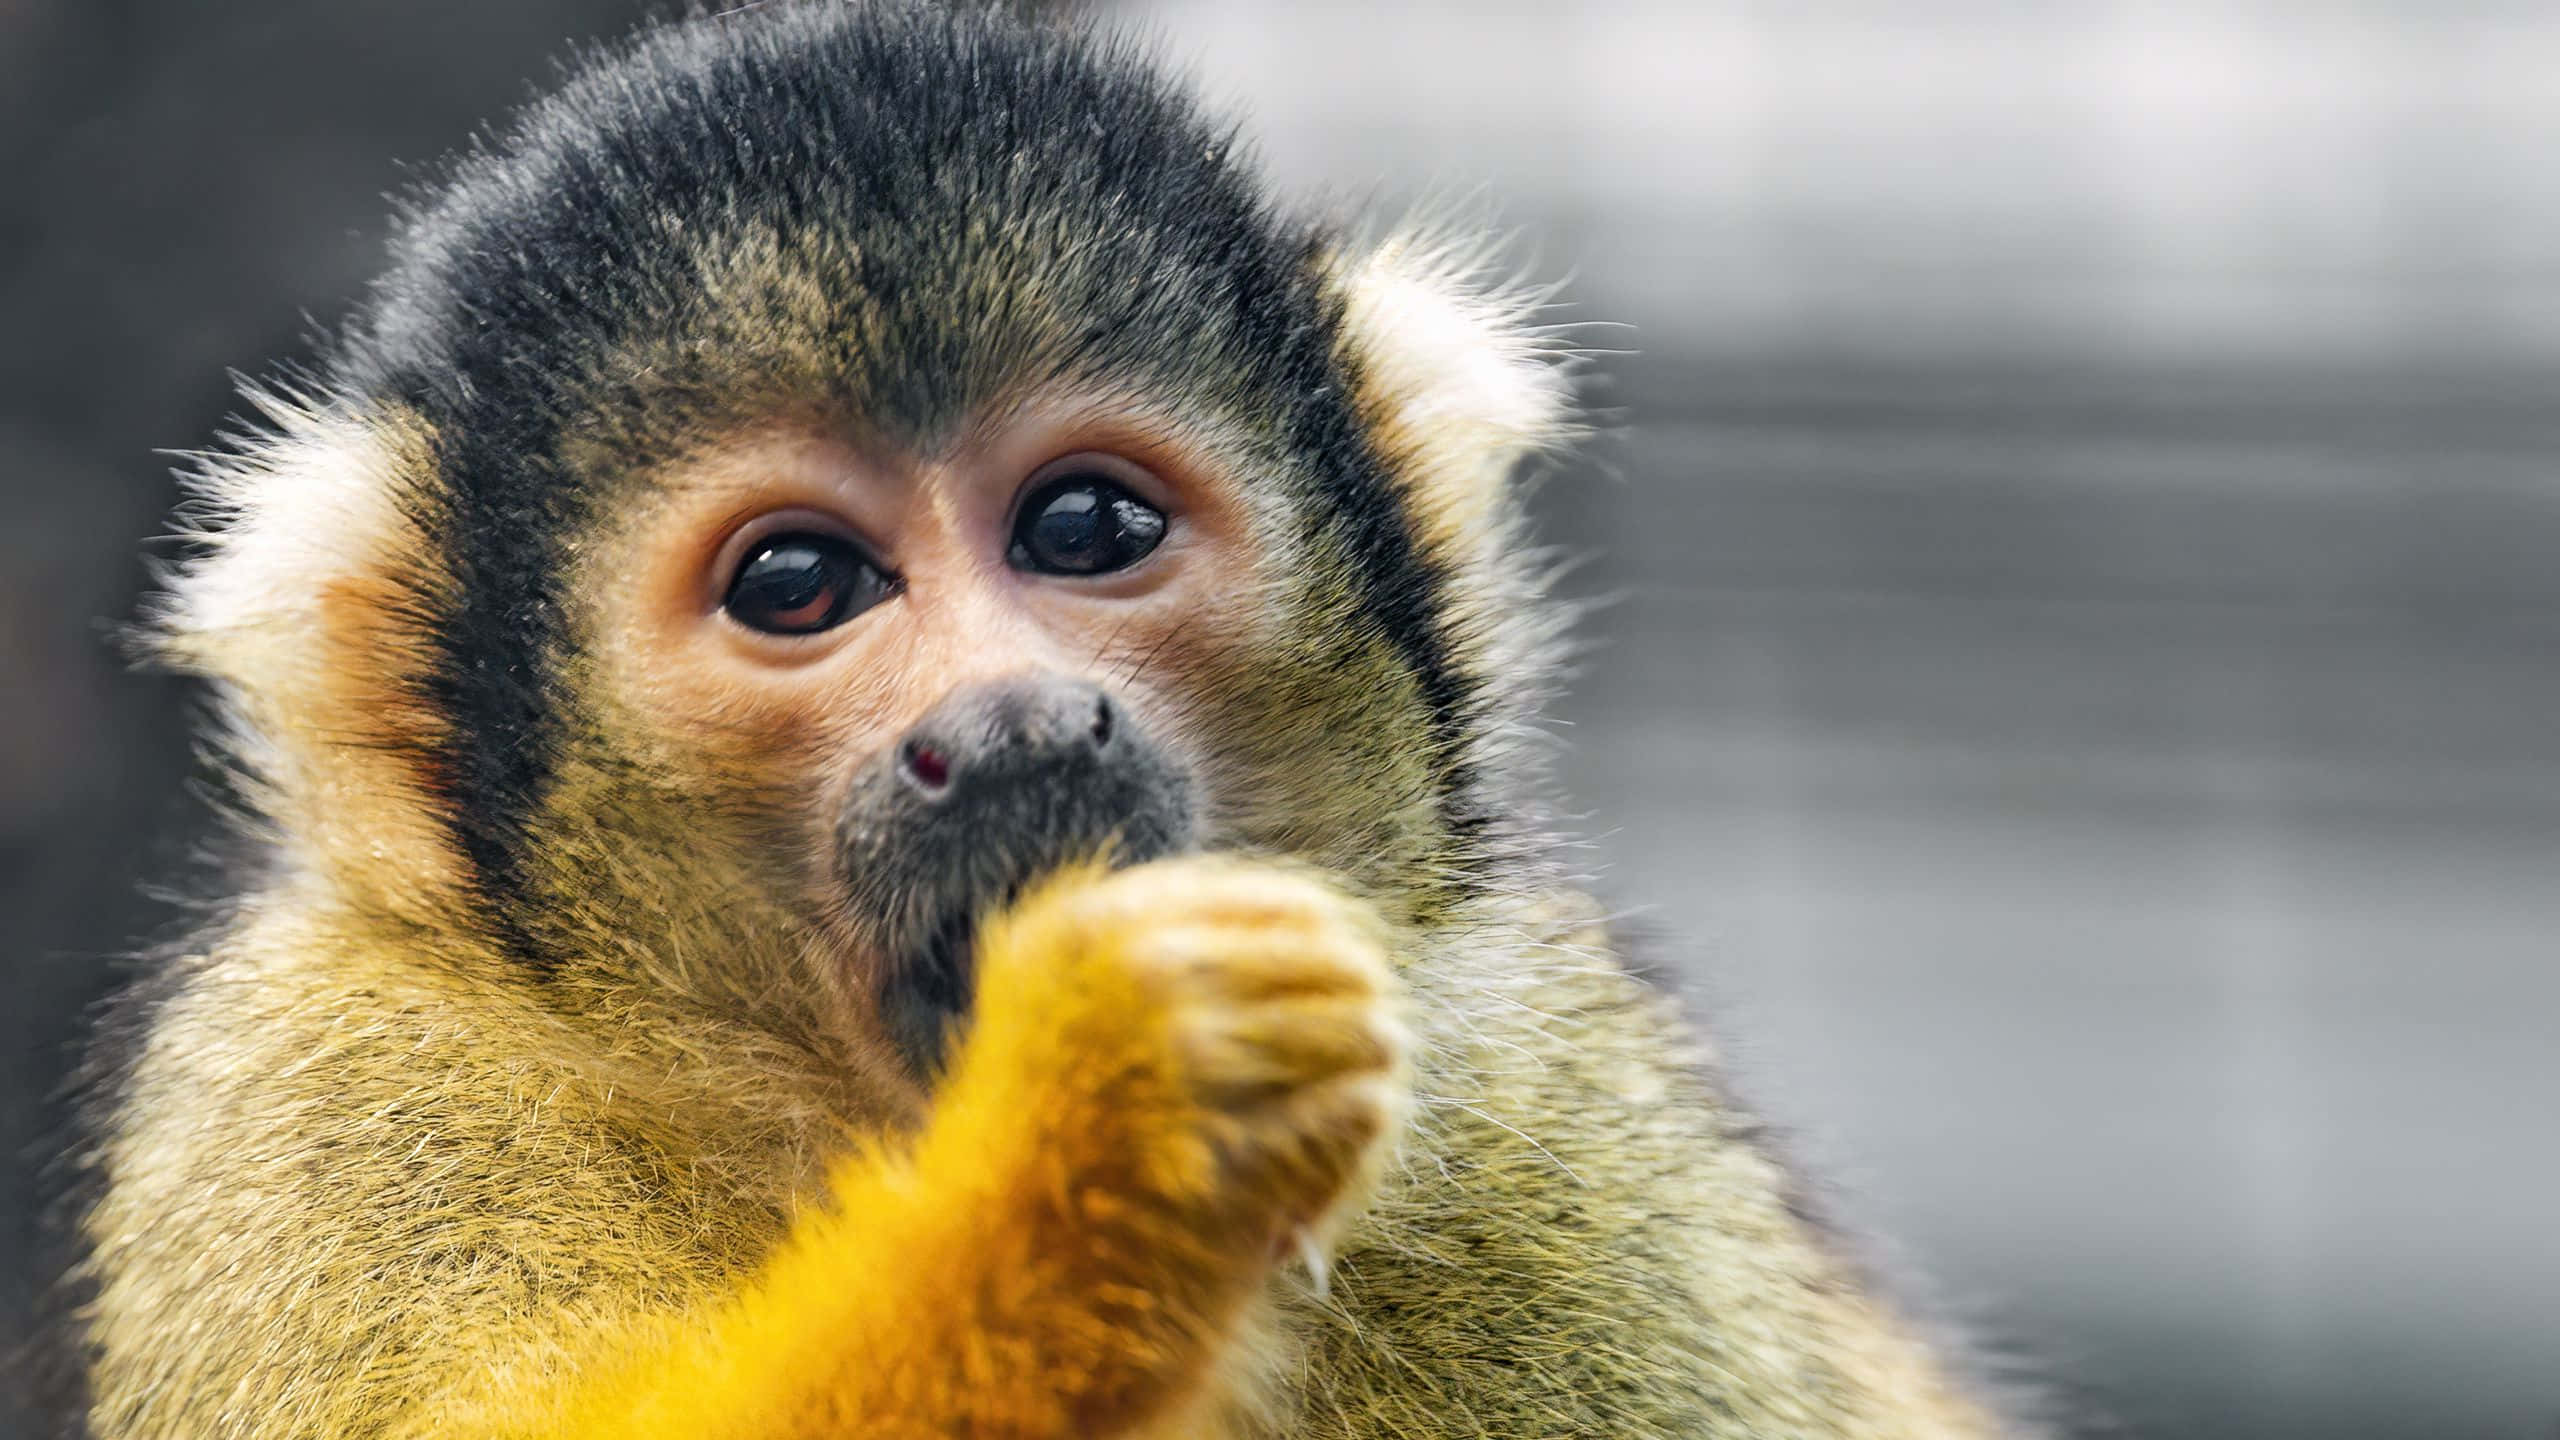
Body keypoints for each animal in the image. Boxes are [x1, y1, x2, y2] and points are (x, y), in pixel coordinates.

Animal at [54, 2, 2035, 1437]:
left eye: (1084, 529)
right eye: (798, 584)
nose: (1009, 726)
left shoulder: (1554, 1130)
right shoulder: (323, 1095)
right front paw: (1100, 1133)